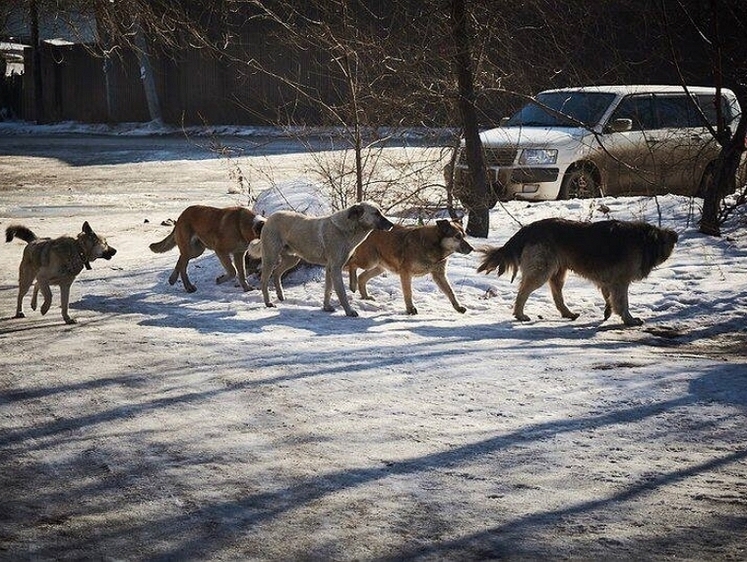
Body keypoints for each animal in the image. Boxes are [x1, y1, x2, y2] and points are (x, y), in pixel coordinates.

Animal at [260, 200, 394, 316]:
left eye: (380, 212)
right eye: (376, 213)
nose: (392, 225)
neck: (347, 229)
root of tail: (269, 218)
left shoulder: (329, 268)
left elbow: (328, 290)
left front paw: (327, 307)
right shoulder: (335, 268)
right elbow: (341, 292)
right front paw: (349, 311)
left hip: (292, 259)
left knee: (277, 273)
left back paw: (280, 295)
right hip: (270, 257)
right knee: (265, 279)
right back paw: (268, 302)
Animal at [346, 219, 474, 316]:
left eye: (464, 236)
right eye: (457, 236)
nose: (472, 249)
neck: (436, 246)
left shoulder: (439, 274)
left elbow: (450, 291)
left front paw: (458, 307)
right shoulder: (406, 273)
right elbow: (408, 292)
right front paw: (410, 309)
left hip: (379, 266)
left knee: (362, 277)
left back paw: (365, 296)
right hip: (369, 261)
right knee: (352, 264)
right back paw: (352, 285)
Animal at [480, 217, 676, 326]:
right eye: (665, 240)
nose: (675, 235)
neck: (643, 240)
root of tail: (528, 228)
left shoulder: (609, 281)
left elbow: (608, 297)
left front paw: (608, 311)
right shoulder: (620, 281)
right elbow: (622, 302)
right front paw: (629, 320)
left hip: (558, 272)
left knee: (557, 296)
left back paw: (568, 313)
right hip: (542, 270)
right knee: (523, 292)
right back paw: (520, 314)